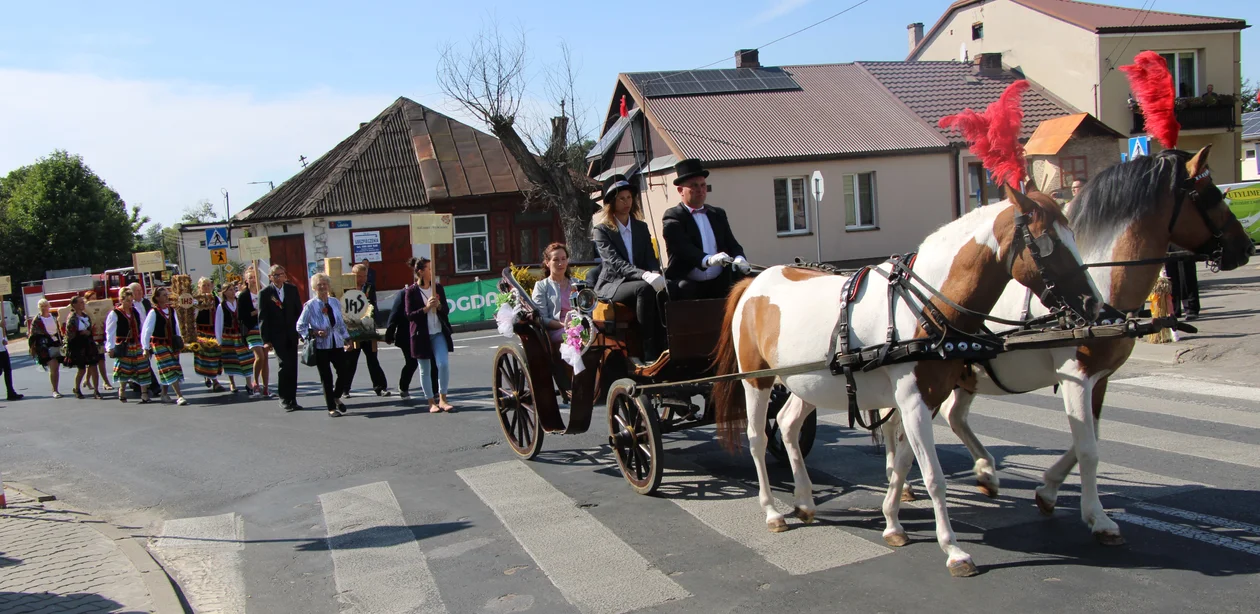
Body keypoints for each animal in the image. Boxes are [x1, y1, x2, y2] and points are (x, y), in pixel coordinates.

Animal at [720, 187, 1103, 577]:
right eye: (1047, 241)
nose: (1094, 304)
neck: (923, 306)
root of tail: (755, 281)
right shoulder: (914, 401)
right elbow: (933, 475)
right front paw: (953, 549)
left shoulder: (925, 400)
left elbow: (904, 462)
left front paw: (892, 522)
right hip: (756, 381)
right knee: (757, 438)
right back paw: (771, 510)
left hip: (807, 383)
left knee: (787, 425)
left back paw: (805, 501)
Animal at [882, 145, 1254, 542]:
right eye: (1211, 195)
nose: (1246, 246)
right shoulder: (1077, 376)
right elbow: (1088, 449)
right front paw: (1097, 517)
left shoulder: (1100, 378)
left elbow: (1086, 440)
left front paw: (1047, 489)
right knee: (899, 425)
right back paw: (905, 481)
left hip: (962, 375)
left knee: (947, 417)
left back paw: (980, 471)